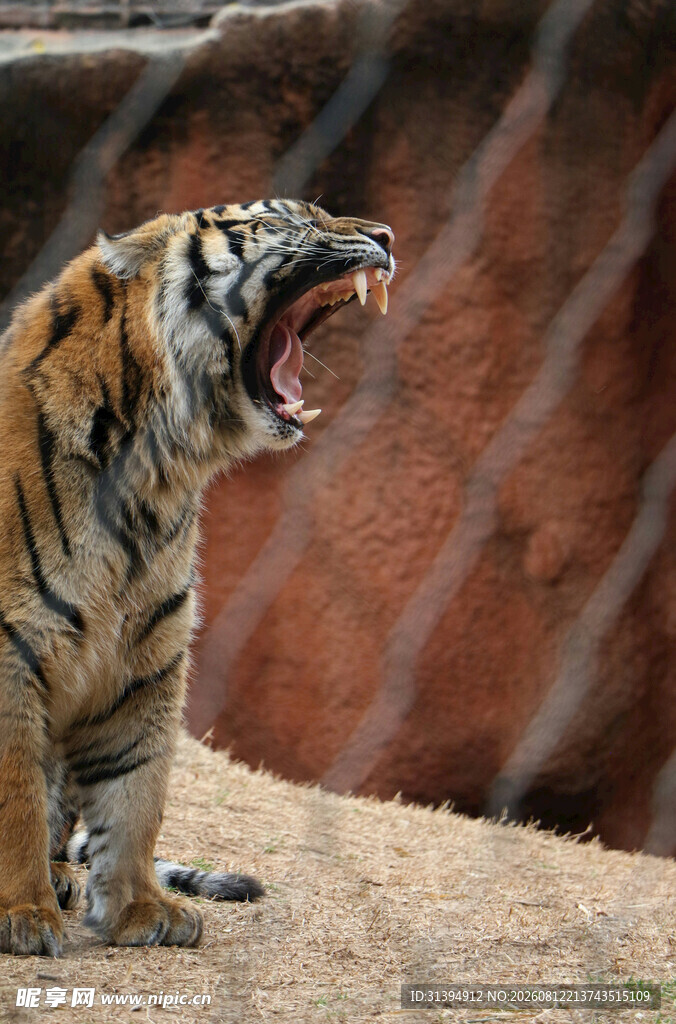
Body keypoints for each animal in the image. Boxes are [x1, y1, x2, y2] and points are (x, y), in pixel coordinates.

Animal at [0, 199, 395, 956]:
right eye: (293, 217)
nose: (388, 236)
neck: (156, 469)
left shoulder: (148, 653)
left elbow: (136, 792)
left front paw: (139, 909)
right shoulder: (9, 651)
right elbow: (16, 798)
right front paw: (22, 915)